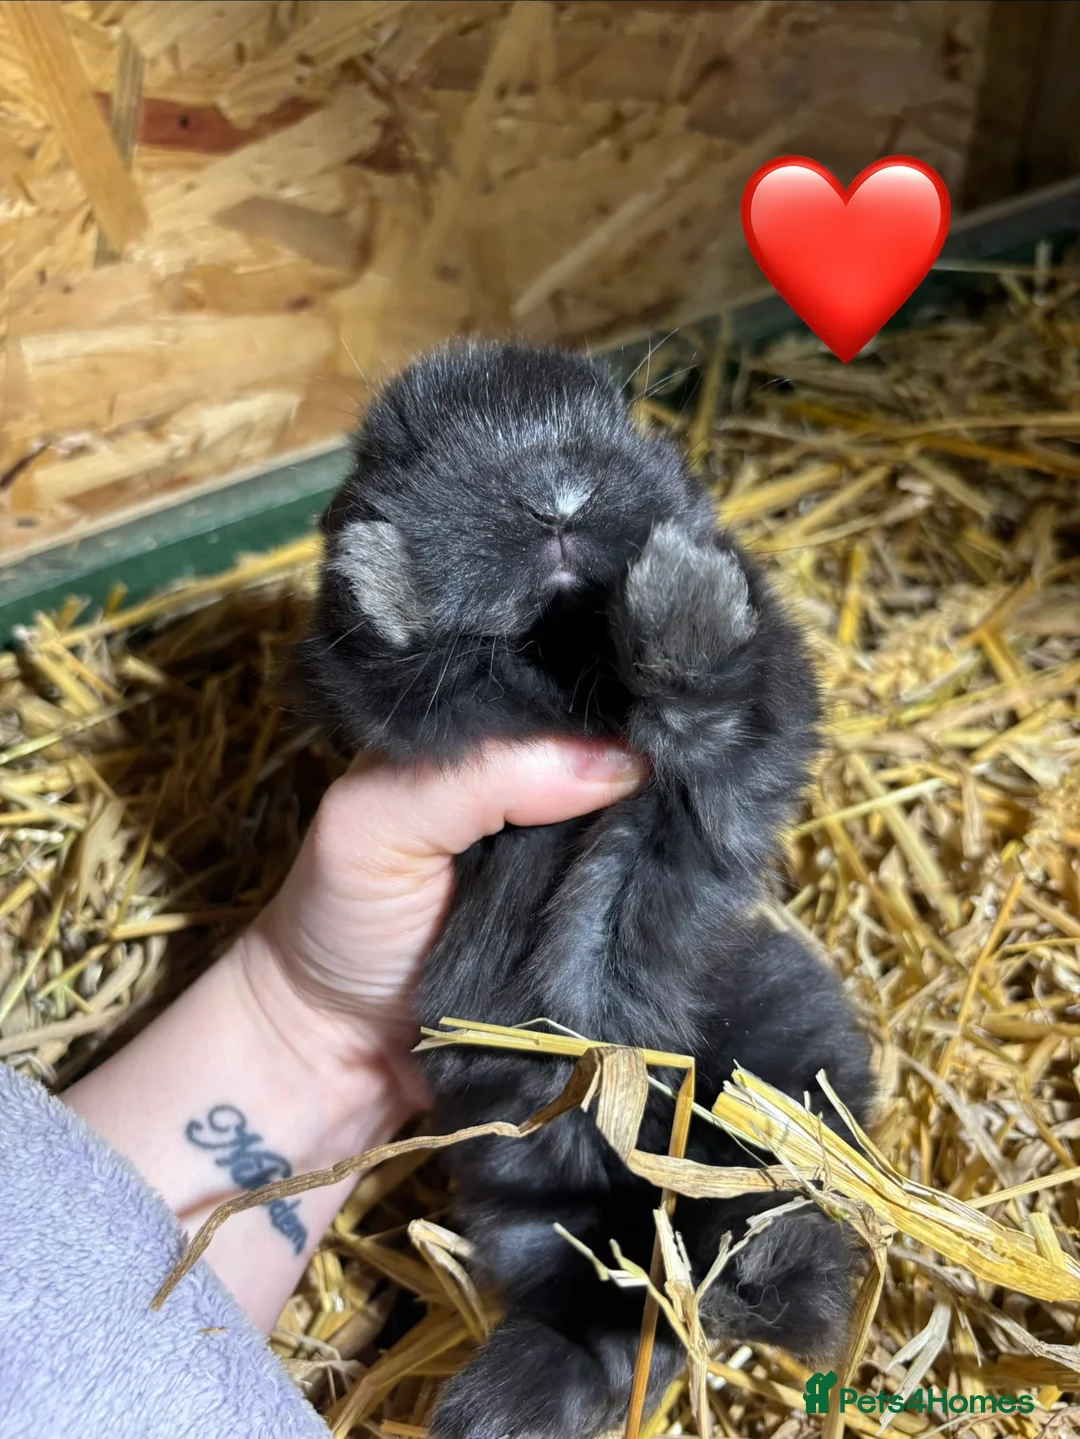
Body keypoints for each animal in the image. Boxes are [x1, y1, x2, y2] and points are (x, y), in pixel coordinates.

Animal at [298, 340, 874, 1439]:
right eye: (411, 451)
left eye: (617, 422)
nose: (556, 497)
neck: (564, 655)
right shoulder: (405, 711)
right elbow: (395, 657)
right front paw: (378, 565)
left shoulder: (742, 746)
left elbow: (728, 698)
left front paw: (685, 581)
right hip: (525, 1187)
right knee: (601, 1306)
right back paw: (497, 1404)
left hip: (781, 1051)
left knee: (769, 1230)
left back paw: (765, 1264)